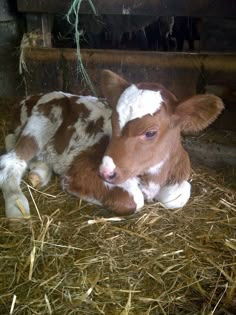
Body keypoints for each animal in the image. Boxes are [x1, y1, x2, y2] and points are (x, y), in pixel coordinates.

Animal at [0, 70, 223, 218]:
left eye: (150, 132)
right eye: (113, 122)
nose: (106, 172)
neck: (152, 177)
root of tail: (31, 97)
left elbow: (179, 194)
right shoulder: (81, 167)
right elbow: (135, 199)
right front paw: (73, 187)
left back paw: (39, 172)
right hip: (47, 113)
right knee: (11, 160)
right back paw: (17, 206)